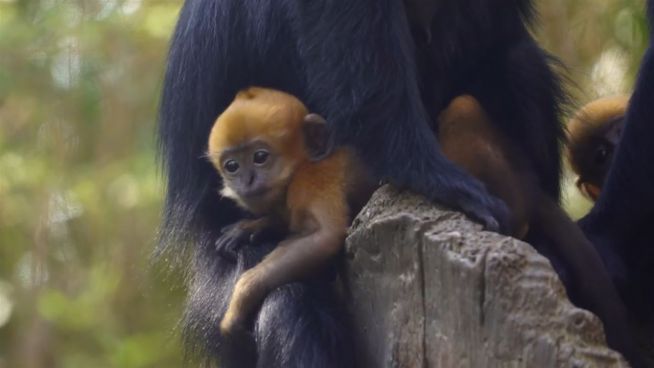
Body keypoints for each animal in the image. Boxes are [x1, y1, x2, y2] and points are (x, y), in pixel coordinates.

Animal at [208, 87, 376, 334]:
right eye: (232, 166)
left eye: (260, 157)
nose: (247, 180)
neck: (303, 165)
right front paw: (250, 228)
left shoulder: (310, 181)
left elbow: (323, 236)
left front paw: (242, 297)